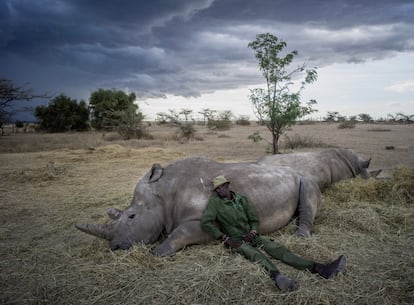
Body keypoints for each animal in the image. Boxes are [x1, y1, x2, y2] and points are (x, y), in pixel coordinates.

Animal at [75, 148, 372, 255]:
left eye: (132, 217)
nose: (116, 247)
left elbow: (180, 232)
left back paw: (299, 236)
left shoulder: (206, 223)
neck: (163, 192)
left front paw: (158, 252)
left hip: (305, 179)